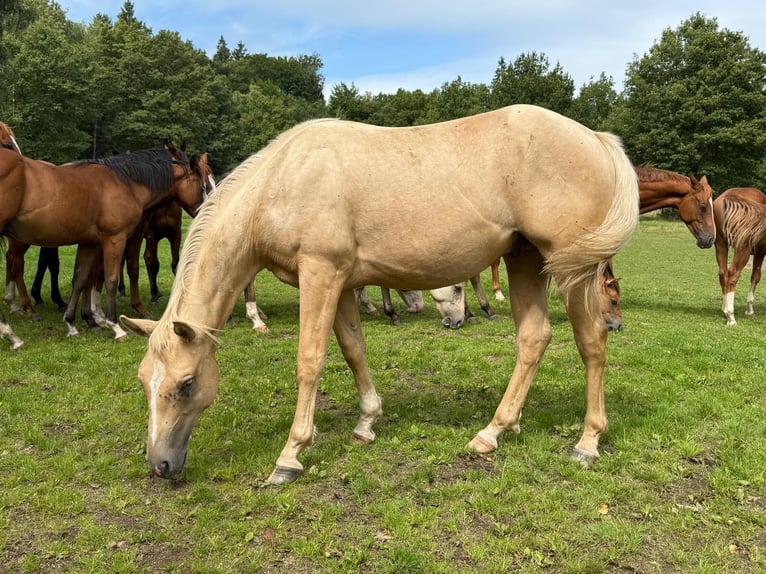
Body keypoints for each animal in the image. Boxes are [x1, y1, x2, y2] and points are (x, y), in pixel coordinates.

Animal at [0, 141, 211, 340]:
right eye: (202, 185)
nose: (205, 213)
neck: (125, 184)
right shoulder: (116, 239)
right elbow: (111, 278)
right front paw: (114, 325)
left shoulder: (90, 243)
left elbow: (81, 279)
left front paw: (72, 323)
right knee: (17, 265)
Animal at [121, 105, 639, 484]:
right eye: (145, 380)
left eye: (186, 384)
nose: (159, 465)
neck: (282, 182)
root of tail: (594, 137)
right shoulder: (342, 284)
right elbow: (353, 349)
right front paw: (366, 423)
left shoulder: (321, 274)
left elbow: (310, 359)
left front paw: (291, 454)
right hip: (525, 258)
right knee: (534, 336)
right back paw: (493, 431)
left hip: (574, 269)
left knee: (592, 341)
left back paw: (587, 442)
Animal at [713, 187, 766, 326]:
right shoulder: (760, 252)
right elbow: (756, 277)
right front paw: (749, 309)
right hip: (743, 250)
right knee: (732, 275)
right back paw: (731, 317)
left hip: (720, 245)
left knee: (723, 274)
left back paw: (725, 311)